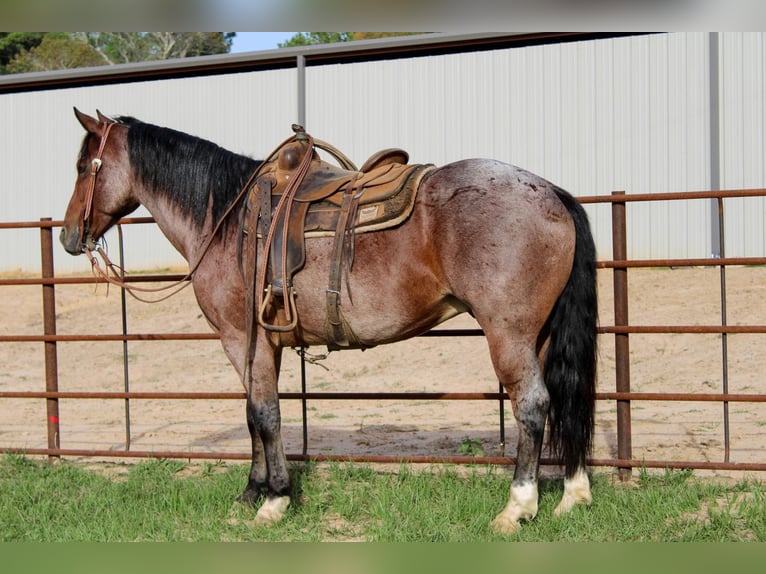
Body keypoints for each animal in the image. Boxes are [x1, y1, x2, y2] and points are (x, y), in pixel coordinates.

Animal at [60, 109, 600, 536]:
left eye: (86, 166)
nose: (68, 236)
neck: (226, 220)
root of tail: (549, 191)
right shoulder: (262, 344)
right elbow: (256, 416)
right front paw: (251, 492)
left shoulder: (241, 340)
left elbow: (265, 415)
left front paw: (274, 500)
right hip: (540, 336)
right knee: (563, 397)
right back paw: (573, 495)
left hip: (509, 336)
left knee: (532, 405)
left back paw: (518, 507)